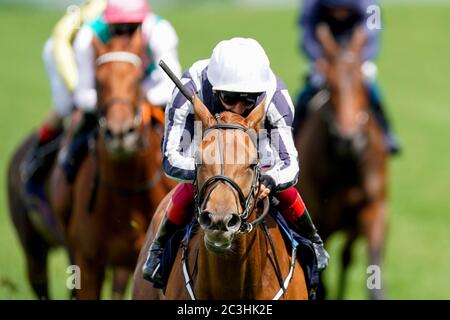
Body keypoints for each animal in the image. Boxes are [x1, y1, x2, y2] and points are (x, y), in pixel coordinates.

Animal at [294, 25, 388, 300]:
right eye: (329, 85)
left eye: (360, 84)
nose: (349, 140)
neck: (347, 166)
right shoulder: (319, 219)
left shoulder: (375, 208)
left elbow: (374, 273)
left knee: (347, 257)